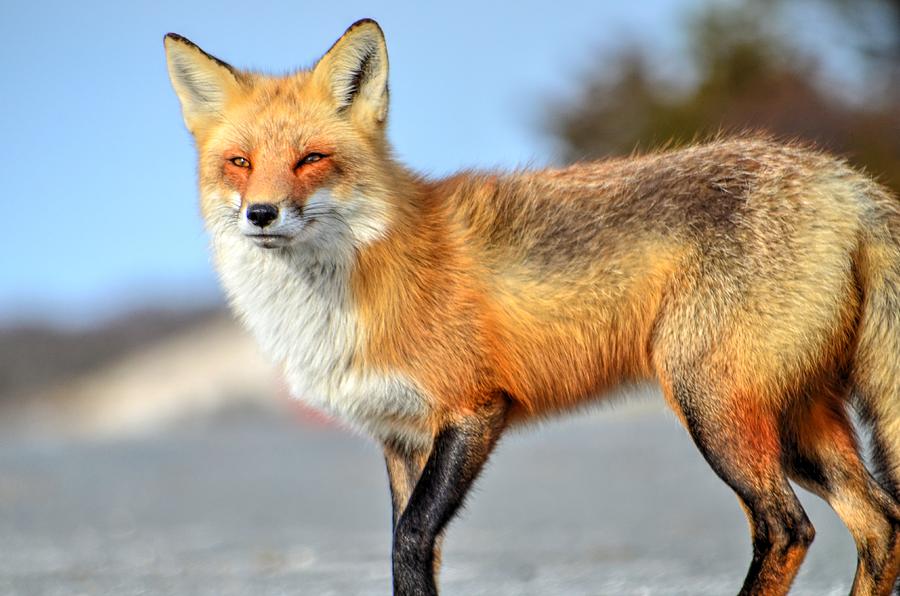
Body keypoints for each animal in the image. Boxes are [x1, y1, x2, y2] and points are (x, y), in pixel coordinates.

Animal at [165, 18, 900, 596]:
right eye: (239, 162)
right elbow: (413, 553)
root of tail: (846, 180)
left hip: (714, 406)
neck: (358, 282)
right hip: (793, 423)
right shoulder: (401, 438)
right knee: (883, 520)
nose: (262, 213)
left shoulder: (472, 409)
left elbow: (410, 540)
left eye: (311, 159)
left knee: (787, 529)